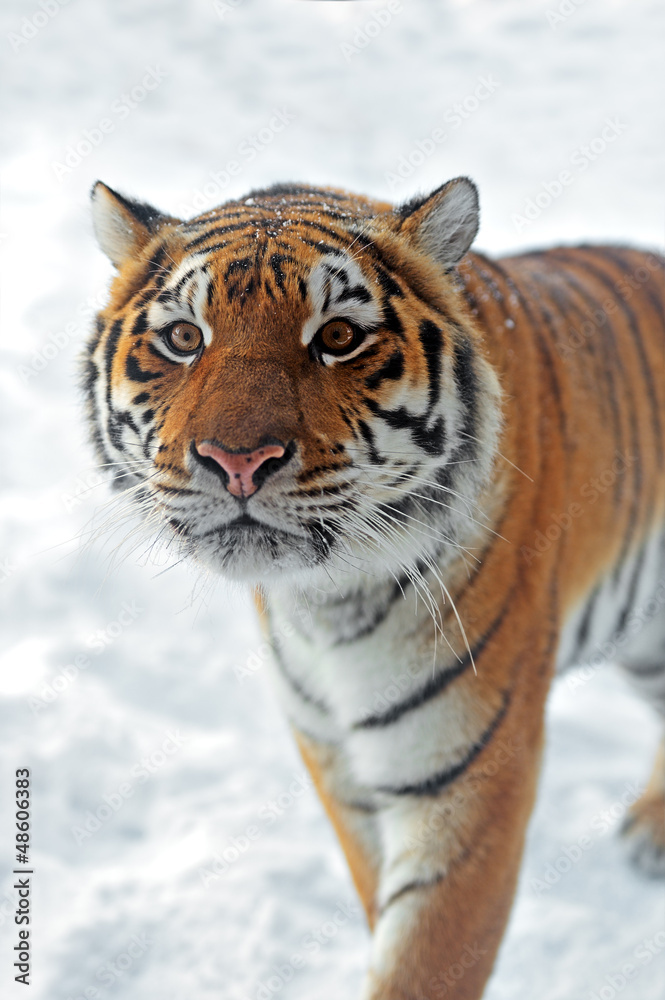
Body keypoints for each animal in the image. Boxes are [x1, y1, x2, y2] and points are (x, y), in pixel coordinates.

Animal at [84, 176, 665, 999]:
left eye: (336, 337)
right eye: (185, 339)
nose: (236, 461)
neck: (328, 602)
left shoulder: (466, 778)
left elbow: (422, 960)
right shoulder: (336, 761)